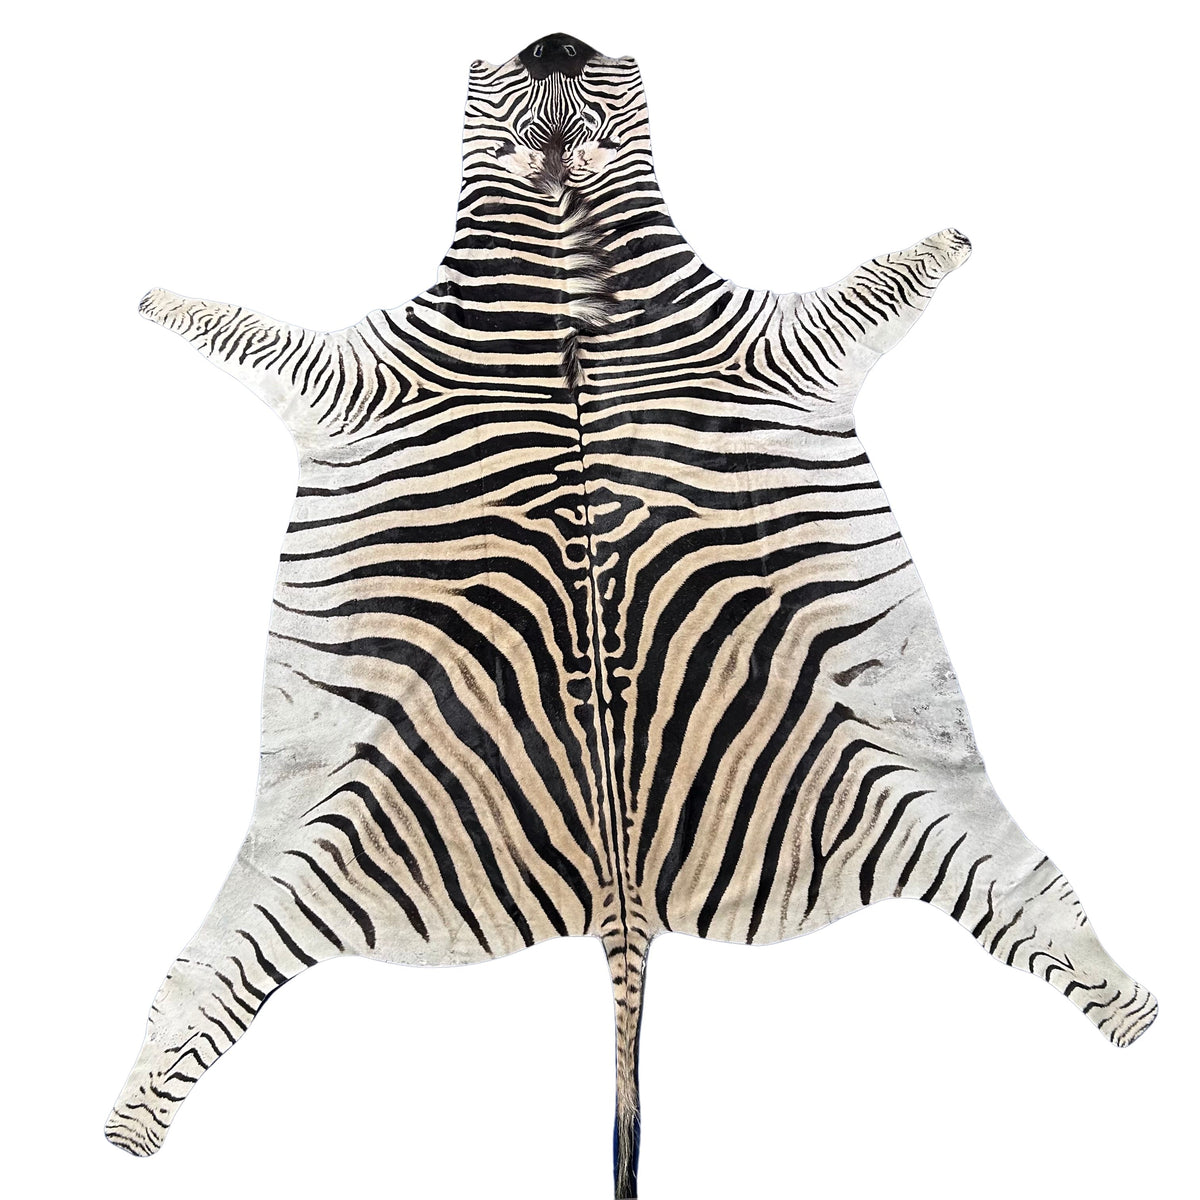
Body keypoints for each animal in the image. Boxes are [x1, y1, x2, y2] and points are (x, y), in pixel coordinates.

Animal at [106, 32, 1157, 1198]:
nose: (554, 39)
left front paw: (952, 234)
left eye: (598, 71)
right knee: (201, 992)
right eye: (508, 73)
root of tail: (623, 899)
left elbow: (891, 278)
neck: (568, 259)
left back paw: (1141, 1016)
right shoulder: (358, 377)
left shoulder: (778, 344)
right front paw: (154, 298)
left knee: (1040, 916)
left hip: (921, 800)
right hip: (306, 847)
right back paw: (123, 1132)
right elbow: (239, 331)